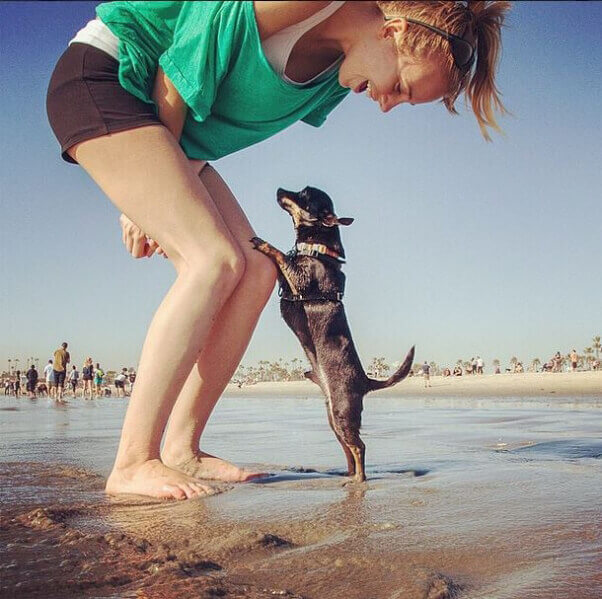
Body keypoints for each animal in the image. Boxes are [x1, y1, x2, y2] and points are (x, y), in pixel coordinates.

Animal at [248, 188, 412, 482]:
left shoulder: (299, 280)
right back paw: (347, 476)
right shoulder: (287, 280)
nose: (279, 190)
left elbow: (280, 256)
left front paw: (263, 243)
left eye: (303, 196)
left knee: (359, 446)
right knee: (348, 448)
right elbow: (283, 260)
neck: (317, 250)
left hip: (342, 413)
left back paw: (359, 480)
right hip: (333, 419)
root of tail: (367, 381)